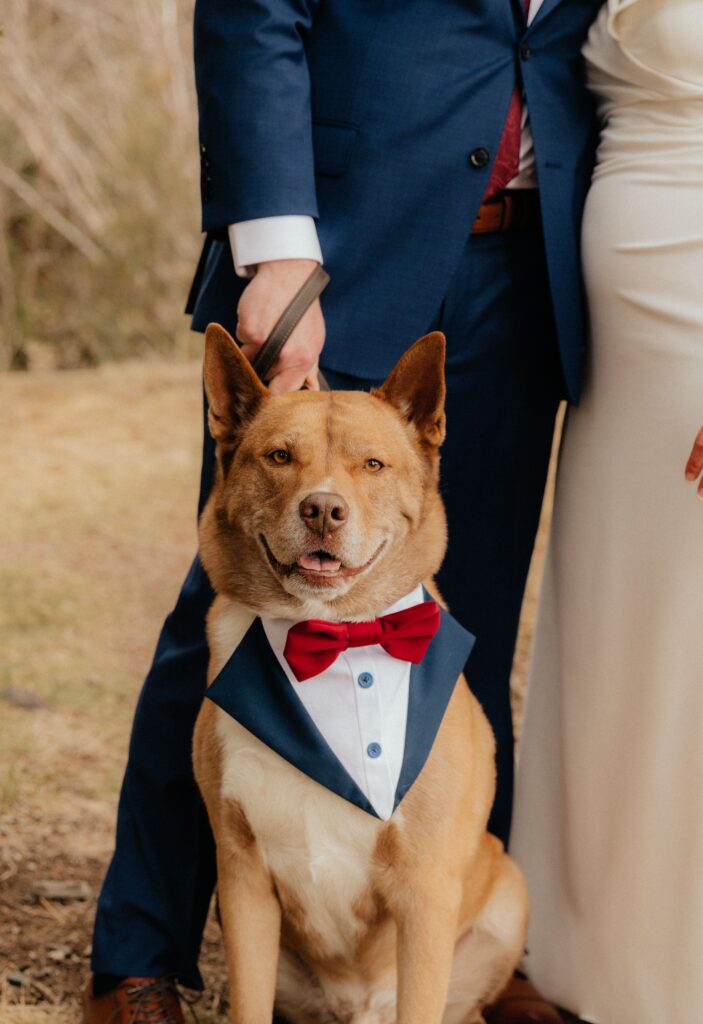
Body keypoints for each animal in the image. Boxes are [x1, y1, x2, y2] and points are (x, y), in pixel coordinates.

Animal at [192, 327, 528, 1024]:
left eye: (373, 465)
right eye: (279, 456)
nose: (323, 509)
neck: (336, 639)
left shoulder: (425, 892)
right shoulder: (241, 879)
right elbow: (247, 1005)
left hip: (508, 897)